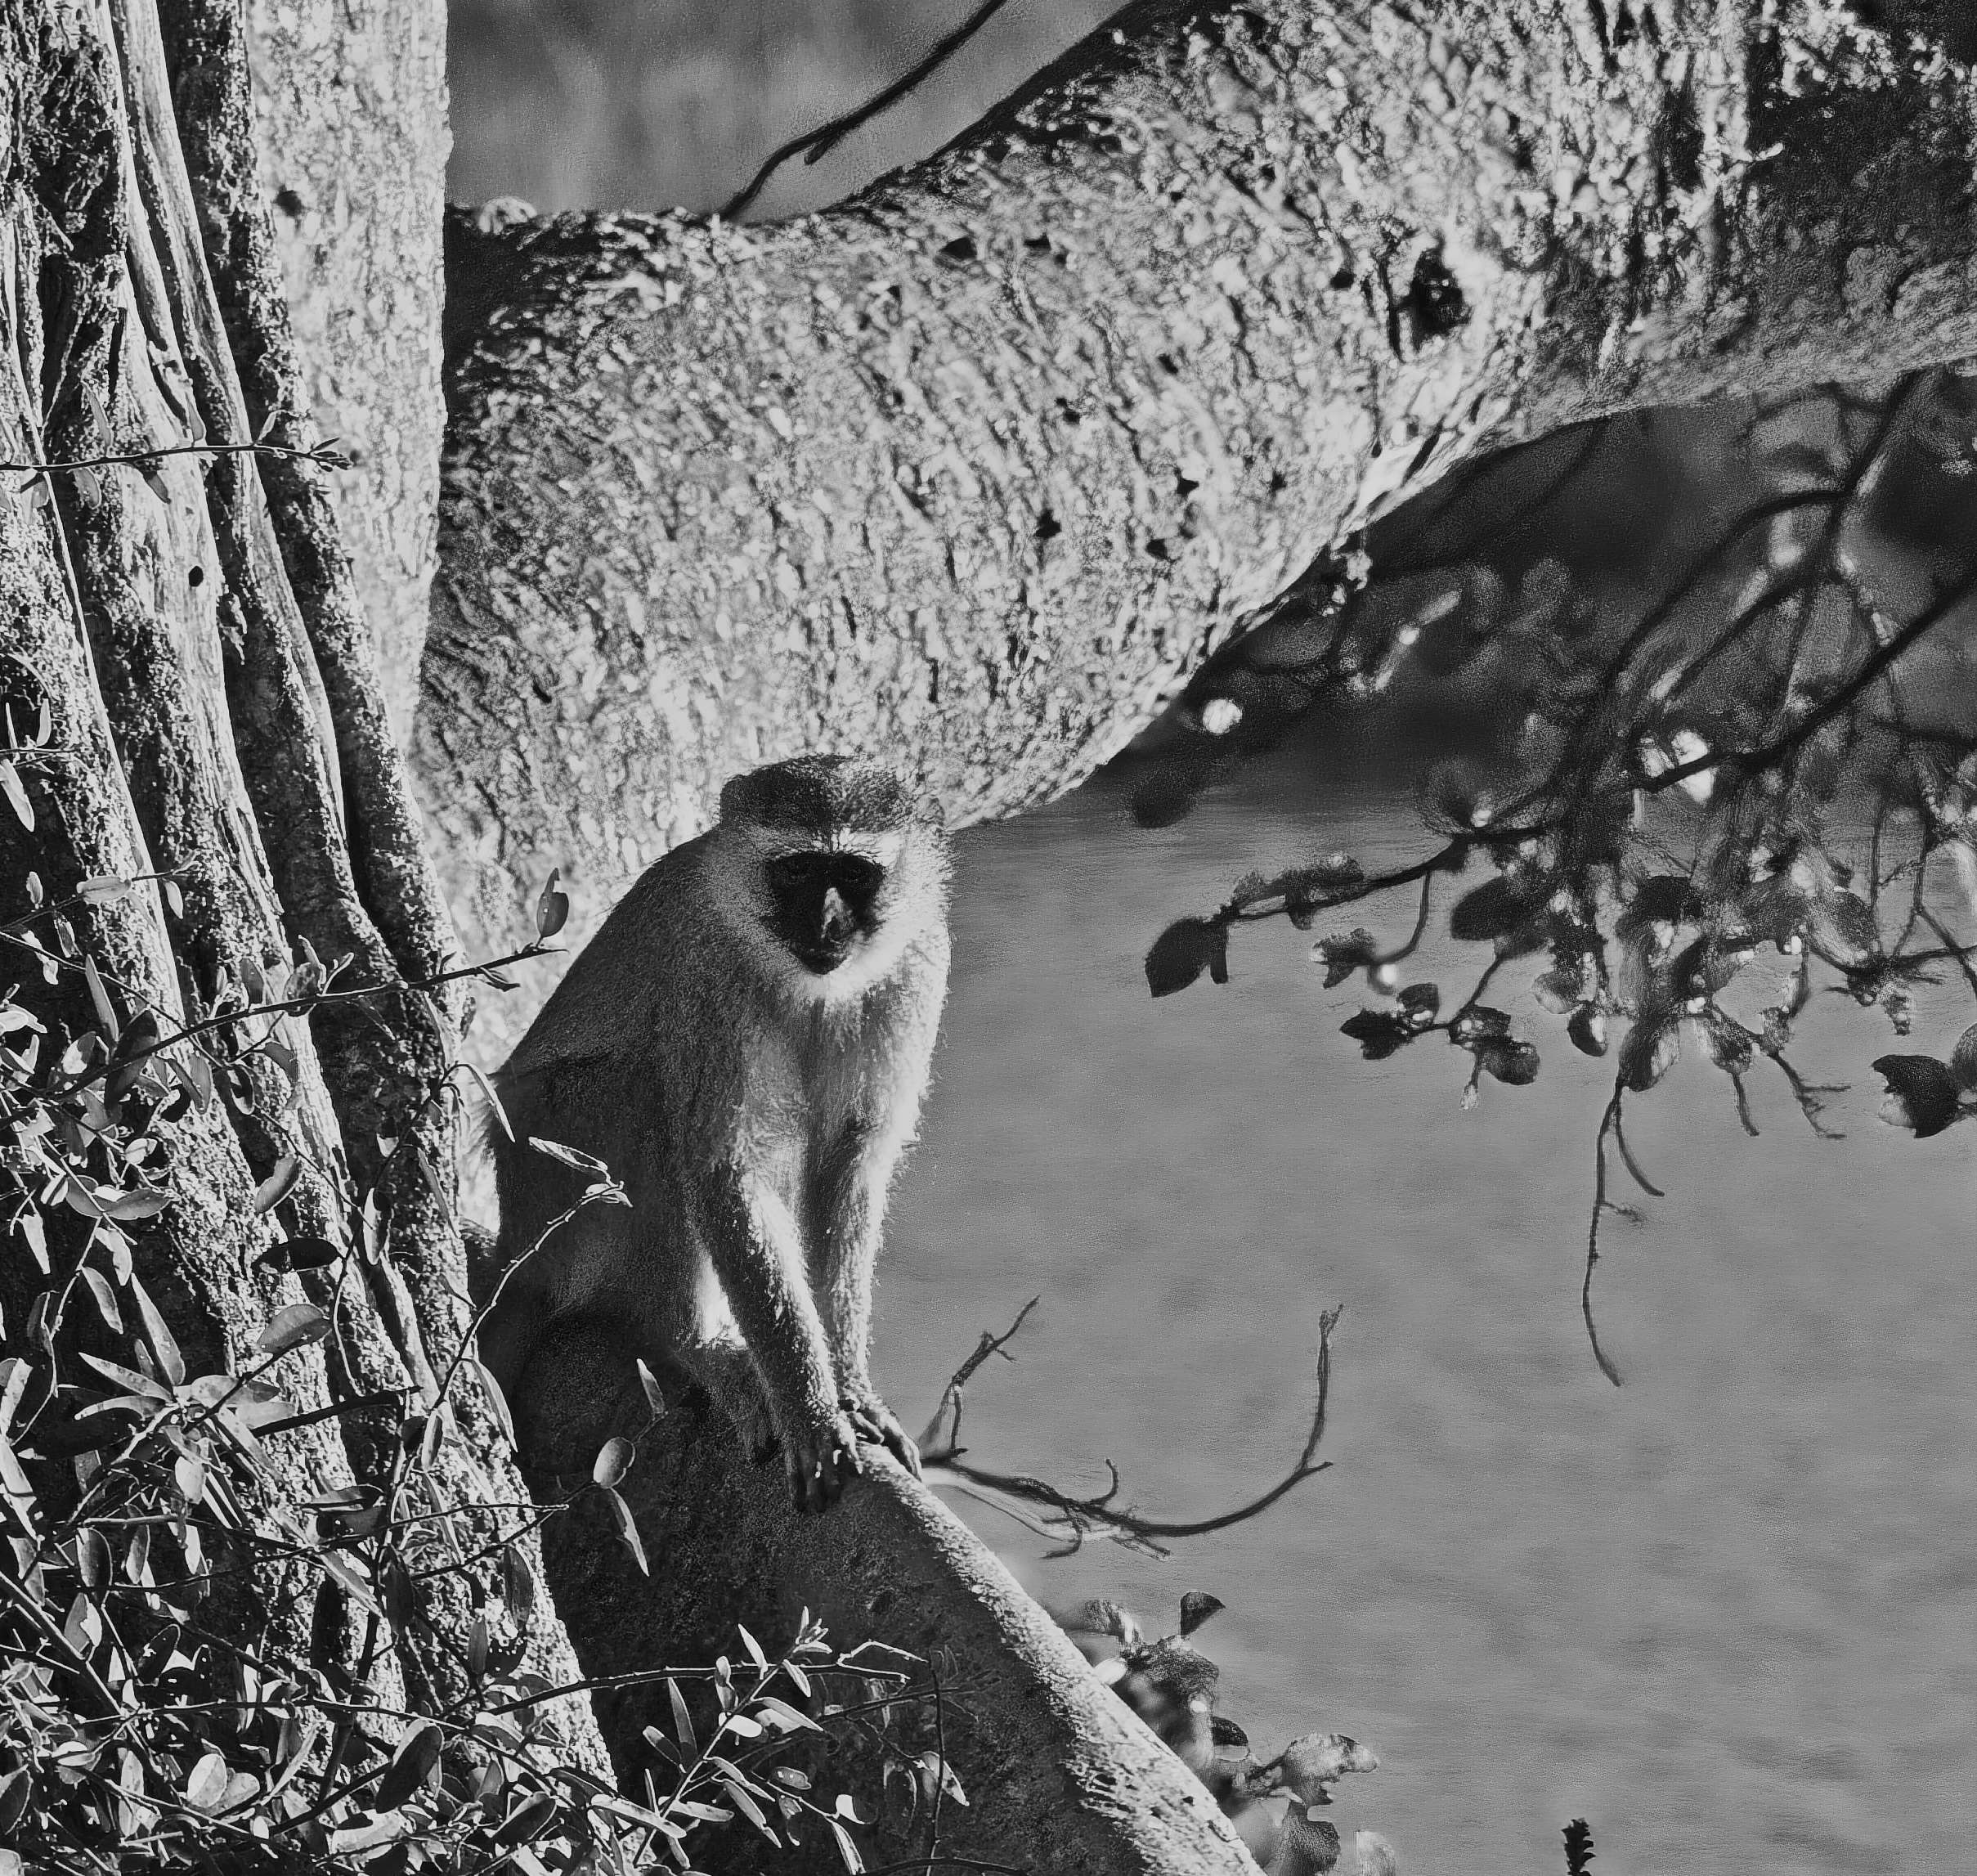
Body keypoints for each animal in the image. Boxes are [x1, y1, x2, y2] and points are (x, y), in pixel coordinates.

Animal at [474, 751, 944, 1510]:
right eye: (798, 872)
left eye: (853, 875)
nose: (828, 921)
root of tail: (518, 1245)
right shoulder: (709, 970)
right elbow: (725, 1172)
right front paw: (809, 1409)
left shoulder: (920, 959)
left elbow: (851, 1160)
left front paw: (849, 1388)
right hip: (551, 1151)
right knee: (649, 1098)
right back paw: (691, 1343)